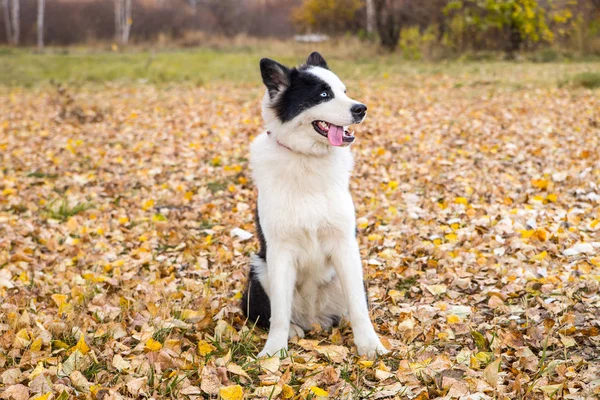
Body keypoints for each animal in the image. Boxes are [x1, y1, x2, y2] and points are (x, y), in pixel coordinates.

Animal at [241, 51, 386, 358]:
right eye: (323, 94)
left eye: (344, 91)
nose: (361, 109)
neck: (306, 159)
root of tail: (313, 319)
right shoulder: (280, 252)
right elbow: (279, 313)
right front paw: (273, 352)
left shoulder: (345, 245)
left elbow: (359, 308)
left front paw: (369, 345)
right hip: (259, 269)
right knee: (266, 314)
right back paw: (294, 331)